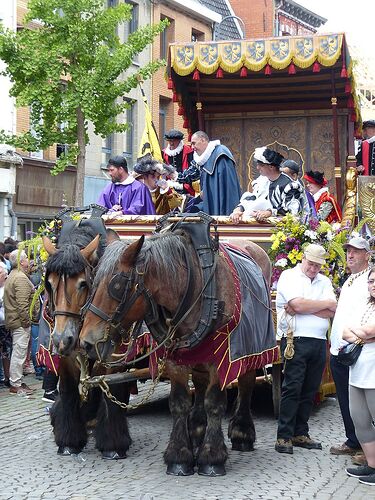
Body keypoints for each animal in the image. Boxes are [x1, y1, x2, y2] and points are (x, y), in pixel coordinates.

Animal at [42, 223, 132, 460]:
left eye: (83, 284)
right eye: (49, 284)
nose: (62, 339)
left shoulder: (112, 355)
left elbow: (109, 388)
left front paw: (112, 445)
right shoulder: (66, 358)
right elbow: (69, 390)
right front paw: (68, 440)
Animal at [79, 224, 276, 476]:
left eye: (117, 285)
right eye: (92, 281)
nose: (86, 342)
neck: (194, 287)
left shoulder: (221, 359)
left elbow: (215, 403)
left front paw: (212, 458)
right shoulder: (175, 359)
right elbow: (179, 402)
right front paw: (180, 456)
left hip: (250, 347)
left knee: (246, 383)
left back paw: (242, 433)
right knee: (200, 385)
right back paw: (197, 429)